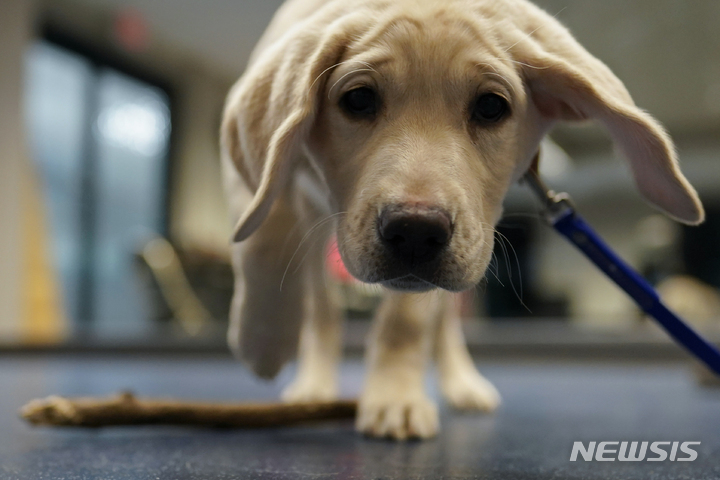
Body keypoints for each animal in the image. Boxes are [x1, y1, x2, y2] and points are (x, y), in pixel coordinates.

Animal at [221, 0, 704, 438]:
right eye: (358, 99)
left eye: (491, 107)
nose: (415, 232)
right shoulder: (253, 167)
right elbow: (263, 229)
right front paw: (262, 340)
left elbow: (406, 321)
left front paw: (395, 397)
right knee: (322, 308)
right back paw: (312, 383)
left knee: (443, 321)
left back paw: (463, 382)